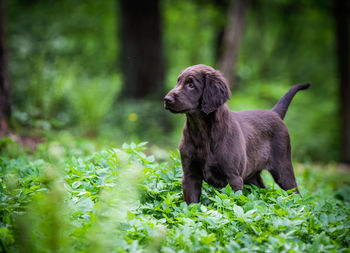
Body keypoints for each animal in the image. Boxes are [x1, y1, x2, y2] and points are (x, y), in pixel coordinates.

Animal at [163, 64, 310, 205]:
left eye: (191, 85)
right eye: (178, 81)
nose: (166, 99)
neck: (201, 131)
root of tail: (274, 113)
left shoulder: (233, 178)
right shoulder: (190, 175)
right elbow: (191, 205)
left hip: (283, 168)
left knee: (296, 194)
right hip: (252, 176)